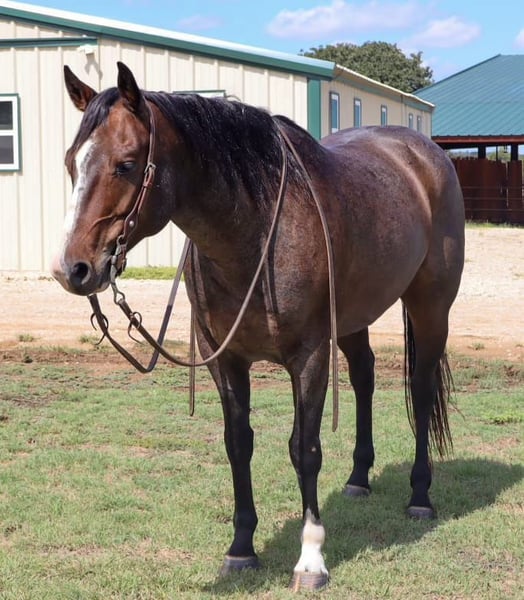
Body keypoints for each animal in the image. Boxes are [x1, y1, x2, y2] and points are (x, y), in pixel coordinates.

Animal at [52, 62, 465, 590]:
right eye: (71, 162)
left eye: (125, 164)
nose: (72, 269)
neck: (257, 230)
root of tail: (424, 152)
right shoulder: (224, 358)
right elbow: (238, 444)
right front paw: (241, 549)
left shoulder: (309, 357)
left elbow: (304, 449)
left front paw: (311, 559)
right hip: (354, 317)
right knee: (365, 377)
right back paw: (358, 480)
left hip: (430, 306)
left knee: (422, 388)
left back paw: (419, 496)